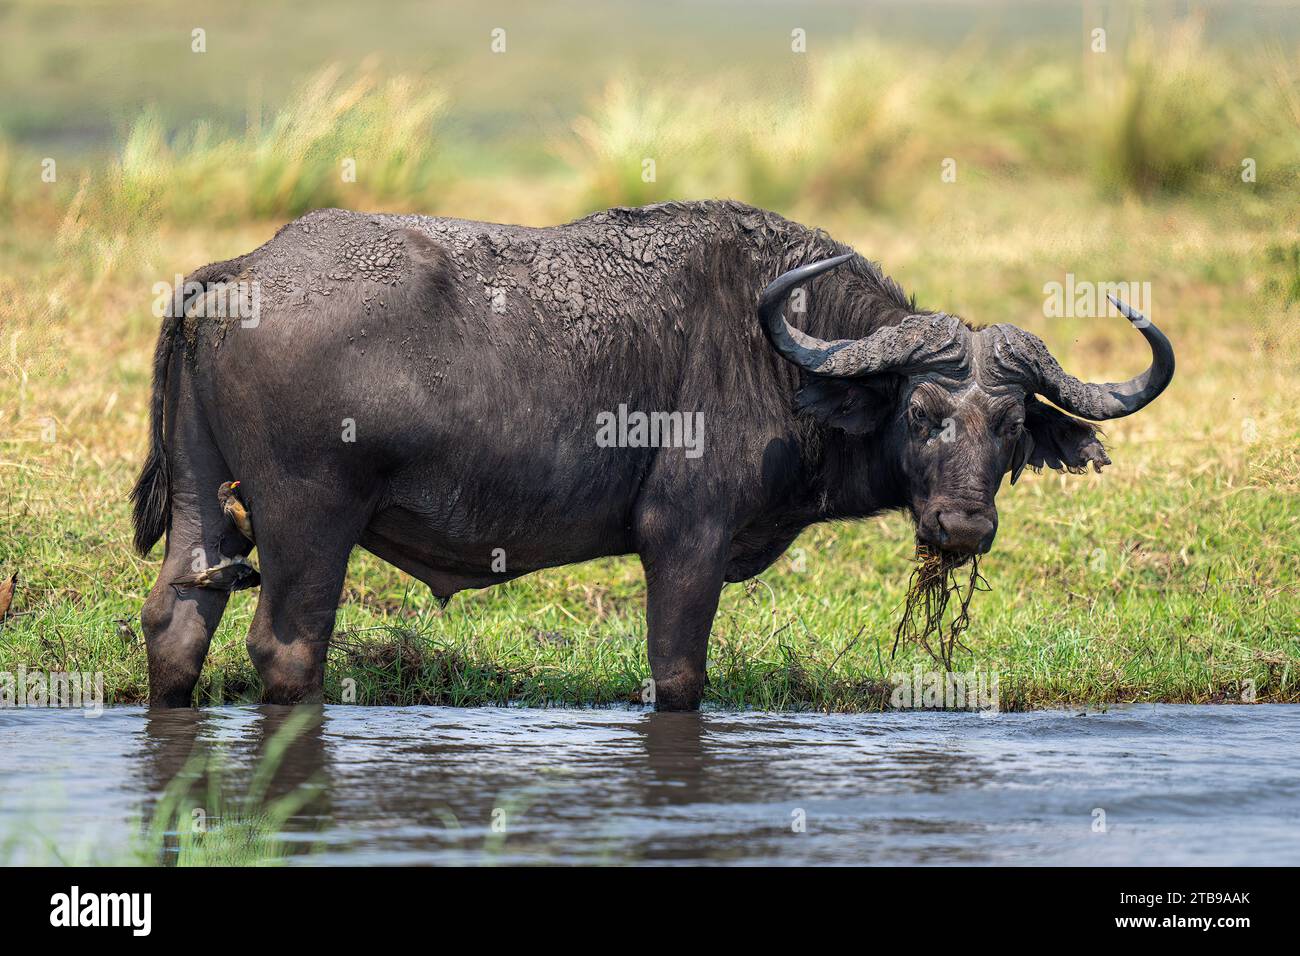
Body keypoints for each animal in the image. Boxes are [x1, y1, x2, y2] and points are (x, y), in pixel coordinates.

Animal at [134, 200, 1180, 712]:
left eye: (1011, 429)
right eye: (922, 412)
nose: (962, 527)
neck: (779, 351)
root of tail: (236, 274)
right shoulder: (685, 540)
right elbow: (678, 677)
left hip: (207, 512)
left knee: (175, 625)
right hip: (311, 522)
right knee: (286, 649)